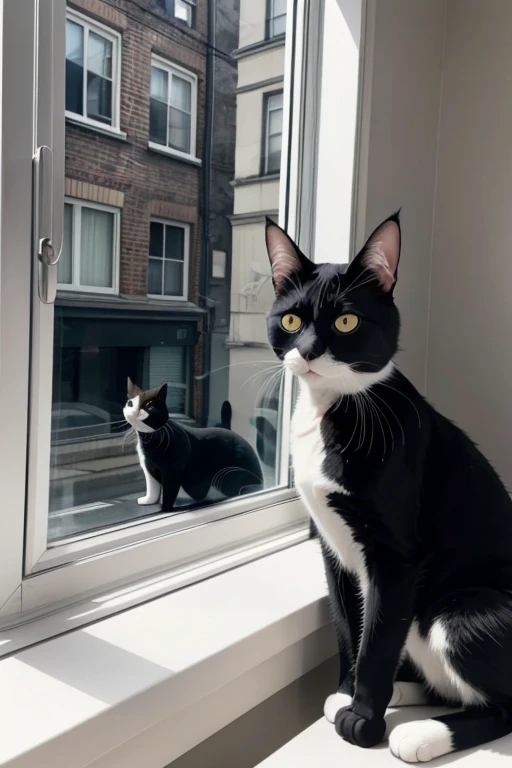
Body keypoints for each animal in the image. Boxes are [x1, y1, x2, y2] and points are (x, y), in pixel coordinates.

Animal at [122, 380, 262, 512]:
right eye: (130, 404)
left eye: (149, 406)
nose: (136, 411)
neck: (149, 438)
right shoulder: (149, 468)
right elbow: (152, 488)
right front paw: (148, 501)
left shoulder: (172, 470)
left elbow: (169, 492)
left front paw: (164, 509)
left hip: (229, 474)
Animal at [266, 213, 512, 760]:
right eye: (291, 321)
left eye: (347, 322)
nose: (308, 352)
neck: (334, 411)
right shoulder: (333, 548)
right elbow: (349, 623)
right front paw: (346, 692)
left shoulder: (396, 556)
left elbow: (378, 637)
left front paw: (362, 719)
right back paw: (408, 692)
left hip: (464, 611)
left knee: (506, 703)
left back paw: (424, 732)